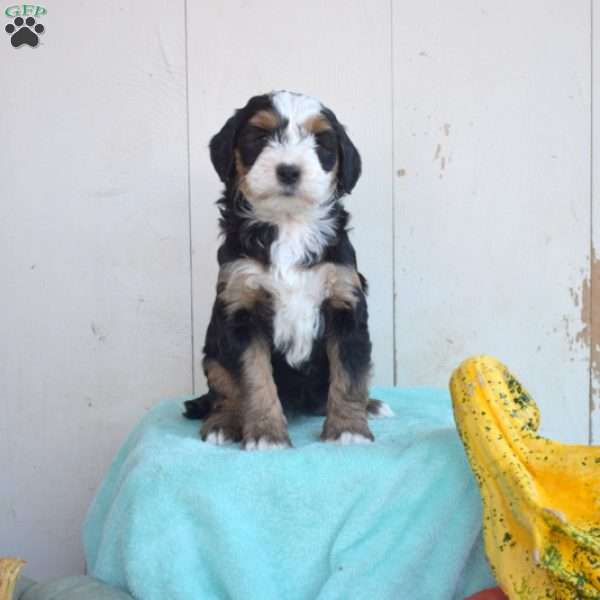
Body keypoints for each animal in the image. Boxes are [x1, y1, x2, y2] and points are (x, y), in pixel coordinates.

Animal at [183, 90, 394, 450]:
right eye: (259, 137)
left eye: (320, 142)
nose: (289, 171)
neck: (289, 224)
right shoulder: (241, 309)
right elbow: (254, 381)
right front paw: (267, 436)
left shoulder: (345, 304)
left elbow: (350, 376)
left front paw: (349, 430)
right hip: (213, 351)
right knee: (223, 391)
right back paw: (222, 424)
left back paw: (372, 405)